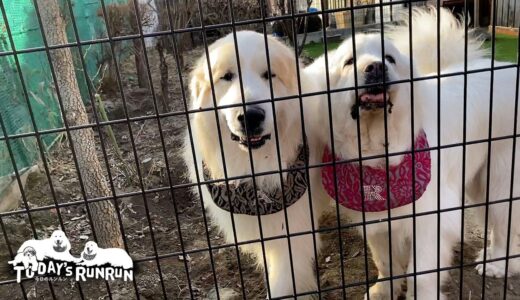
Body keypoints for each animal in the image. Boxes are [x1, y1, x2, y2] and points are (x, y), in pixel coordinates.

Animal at [304, 7, 520, 300]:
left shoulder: (430, 221)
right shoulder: (378, 220)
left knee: (504, 225)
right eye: (349, 62)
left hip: (500, 178)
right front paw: (383, 291)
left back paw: (497, 264)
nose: (376, 67)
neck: (379, 150)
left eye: (390, 59)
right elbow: (385, 262)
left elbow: (421, 274)